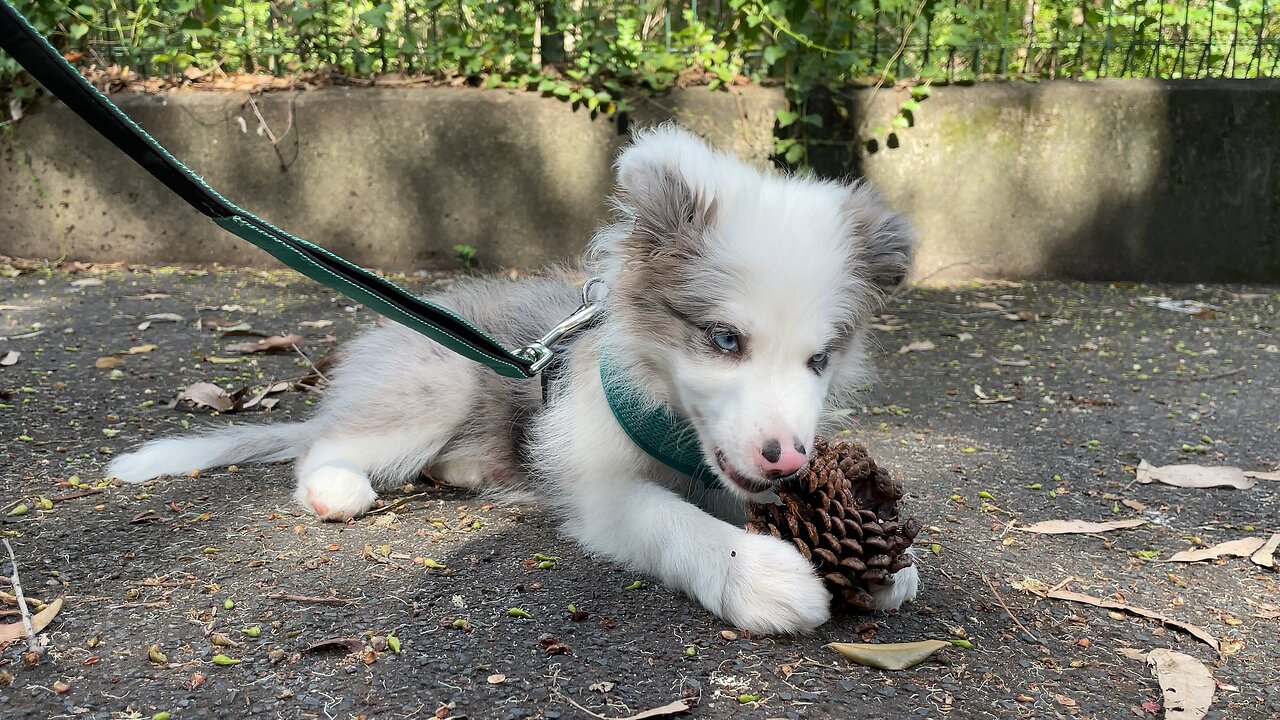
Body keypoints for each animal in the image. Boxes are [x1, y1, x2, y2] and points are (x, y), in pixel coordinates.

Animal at [104, 126, 916, 630]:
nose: (788, 460)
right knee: (322, 445)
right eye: (724, 339)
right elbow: (671, 521)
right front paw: (760, 576)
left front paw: (890, 569)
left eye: (820, 359)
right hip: (440, 382)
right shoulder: (601, 490)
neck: (673, 425)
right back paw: (337, 488)